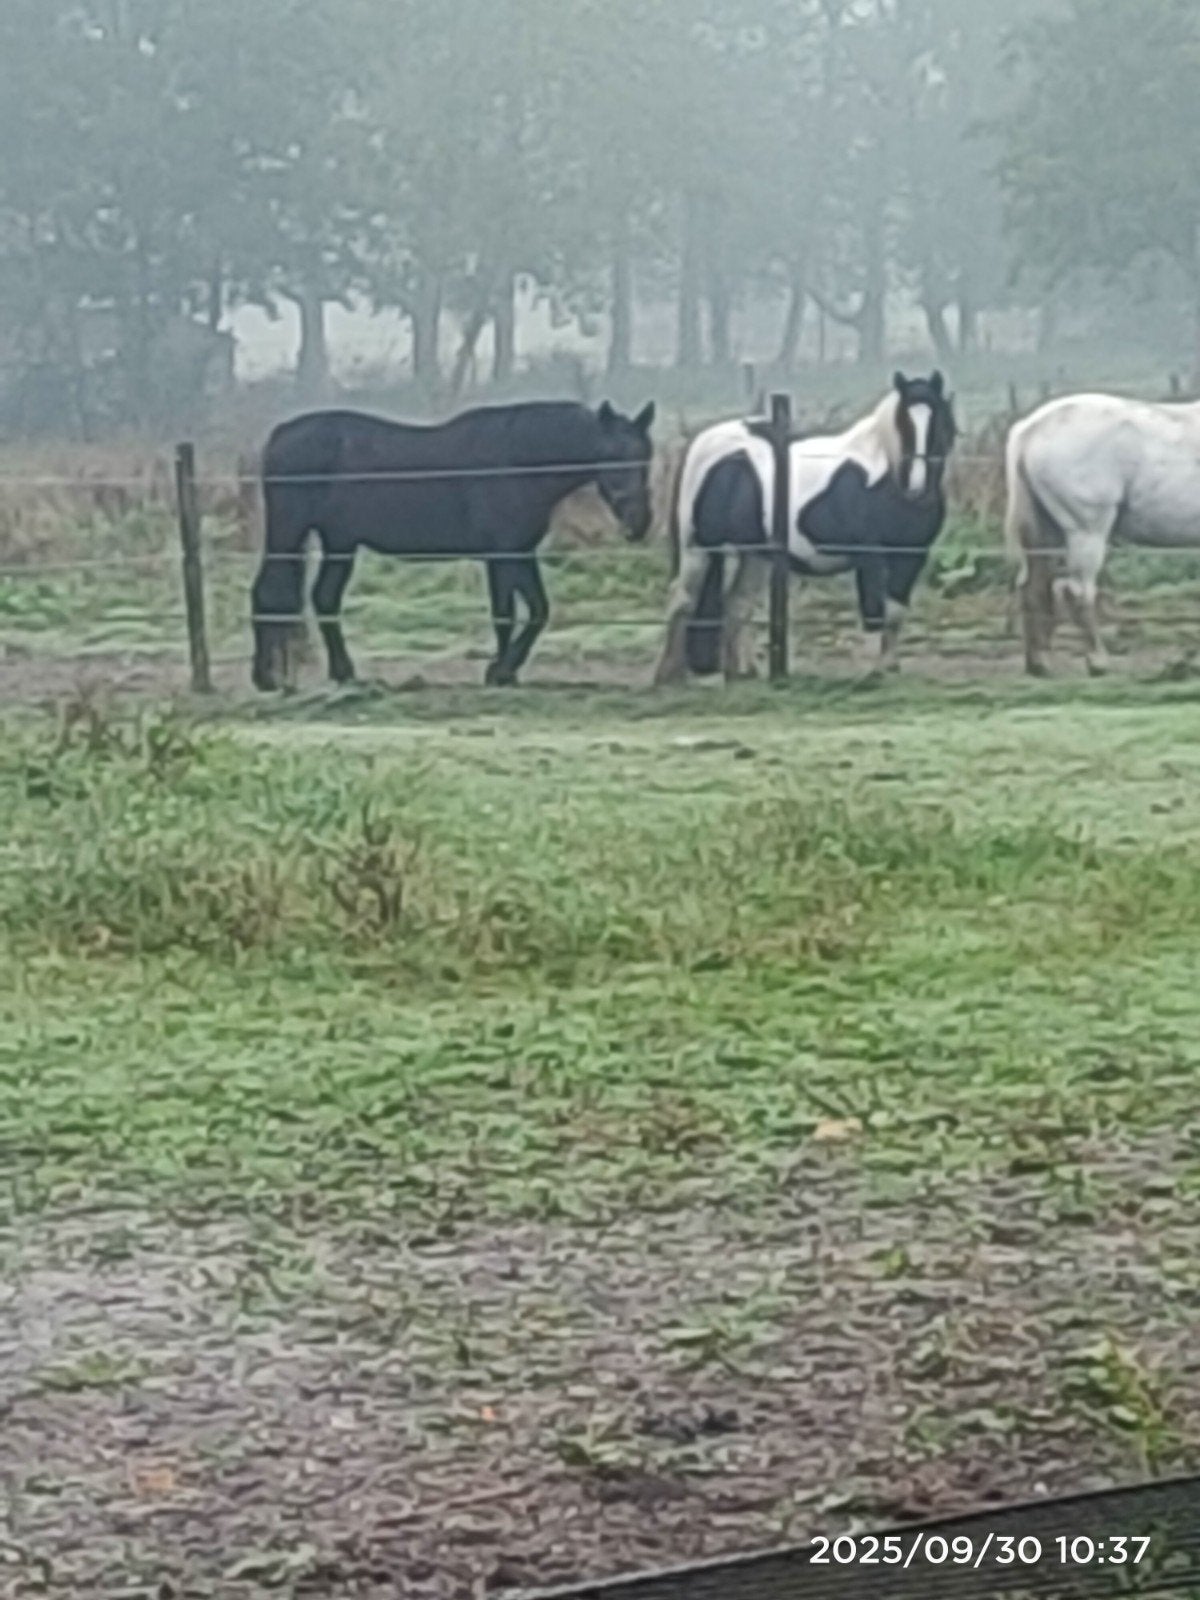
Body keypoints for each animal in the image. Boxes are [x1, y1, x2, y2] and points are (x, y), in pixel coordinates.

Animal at [251, 399, 656, 691]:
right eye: (614, 456)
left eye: (646, 456)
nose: (639, 524)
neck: (516, 462)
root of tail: (277, 436)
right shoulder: (505, 554)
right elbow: (518, 613)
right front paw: (501, 670)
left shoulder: (514, 554)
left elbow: (523, 613)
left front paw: (504, 672)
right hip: (289, 533)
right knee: (269, 592)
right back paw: (267, 678)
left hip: (340, 543)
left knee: (324, 599)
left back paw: (343, 672)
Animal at [653, 373, 957, 685]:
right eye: (903, 425)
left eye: (940, 422)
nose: (918, 490)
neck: (882, 479)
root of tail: (704, 443)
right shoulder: (869, 556)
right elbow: (874, 612)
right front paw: (873, 672)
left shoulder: (912, 556)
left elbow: (895, 612)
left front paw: (890, 667)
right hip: (698, 547)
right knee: (683, 600)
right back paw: (668, 675)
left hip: (755, 555)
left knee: (737, 605)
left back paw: (741, 672)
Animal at [1007, 392, 1200, 676]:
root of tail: (1030, 428)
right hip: (1087, 533)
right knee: (1077, 593)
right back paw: (1097, 659)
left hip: (1045, 538)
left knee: (1034, 588)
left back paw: (1039, 662)